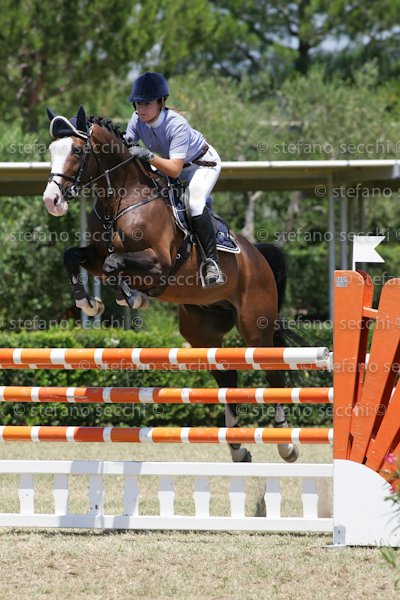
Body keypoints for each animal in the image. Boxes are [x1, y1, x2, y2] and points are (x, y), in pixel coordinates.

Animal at [42, 105, 299, 464]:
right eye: (52, 150)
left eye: (78, 151)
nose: (52, 200)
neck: (123, 200)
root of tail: (257, 254)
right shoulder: (94, 255)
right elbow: (75, 257)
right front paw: (88, 303)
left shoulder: (158, 264)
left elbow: (114, 265)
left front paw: (131, 297)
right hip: (202, 331)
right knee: (227, 375)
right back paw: (237, 447)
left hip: (255, 325)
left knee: (272, 370)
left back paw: (286, 442)